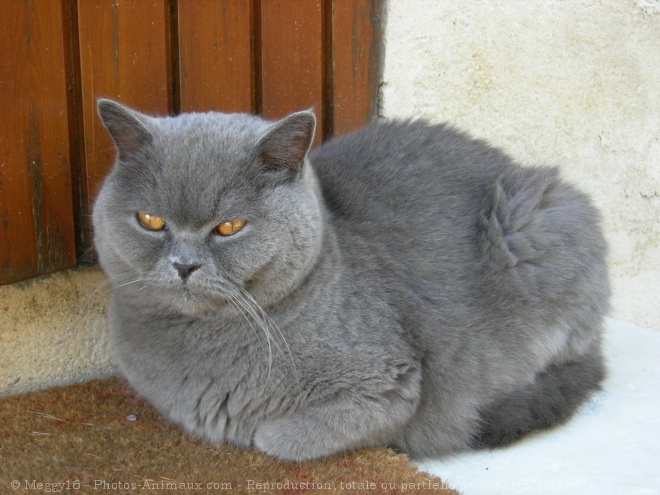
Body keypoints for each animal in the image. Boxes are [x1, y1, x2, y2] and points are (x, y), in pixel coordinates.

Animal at [93, 99, 608, 464]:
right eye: (150, 220)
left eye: (229, 227)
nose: (184, 264)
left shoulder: (387, 383)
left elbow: (277, 439)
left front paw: (262, 432)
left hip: (540, 221)